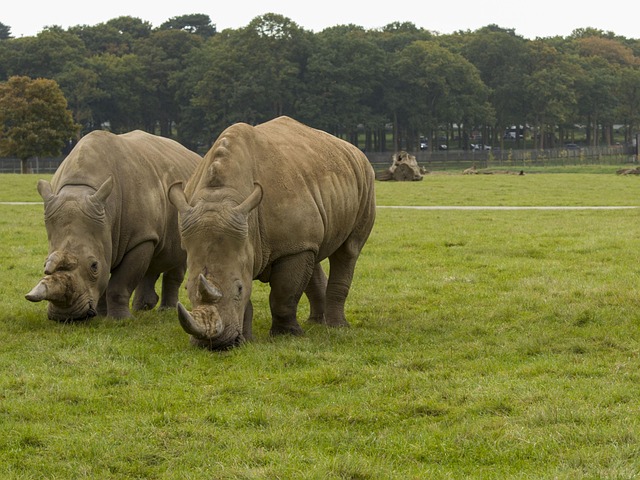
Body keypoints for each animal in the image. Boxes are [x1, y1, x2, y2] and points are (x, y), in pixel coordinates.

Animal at [26, 130, 201, 321]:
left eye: (94, 265)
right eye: (45, 264)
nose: (65, 316)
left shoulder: (140, 238)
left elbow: (120, 282)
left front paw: (120, 320)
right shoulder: (104, 232)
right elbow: (105, 280)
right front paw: (102, 316)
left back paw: (166, 310)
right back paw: (142, 308)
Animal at [168, 116, 376, 350]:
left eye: (238, 289)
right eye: (187, 288)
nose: (213, 345)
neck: (222, 195)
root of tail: (352, 149)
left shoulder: (290, 247)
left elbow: (283, 294)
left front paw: (287, 335)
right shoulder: (249, 245)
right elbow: (251, 298)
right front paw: (246, 340)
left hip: (364, 179)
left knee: (348, 251)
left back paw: (337, 327)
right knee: (314, 252)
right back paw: (315, 323)